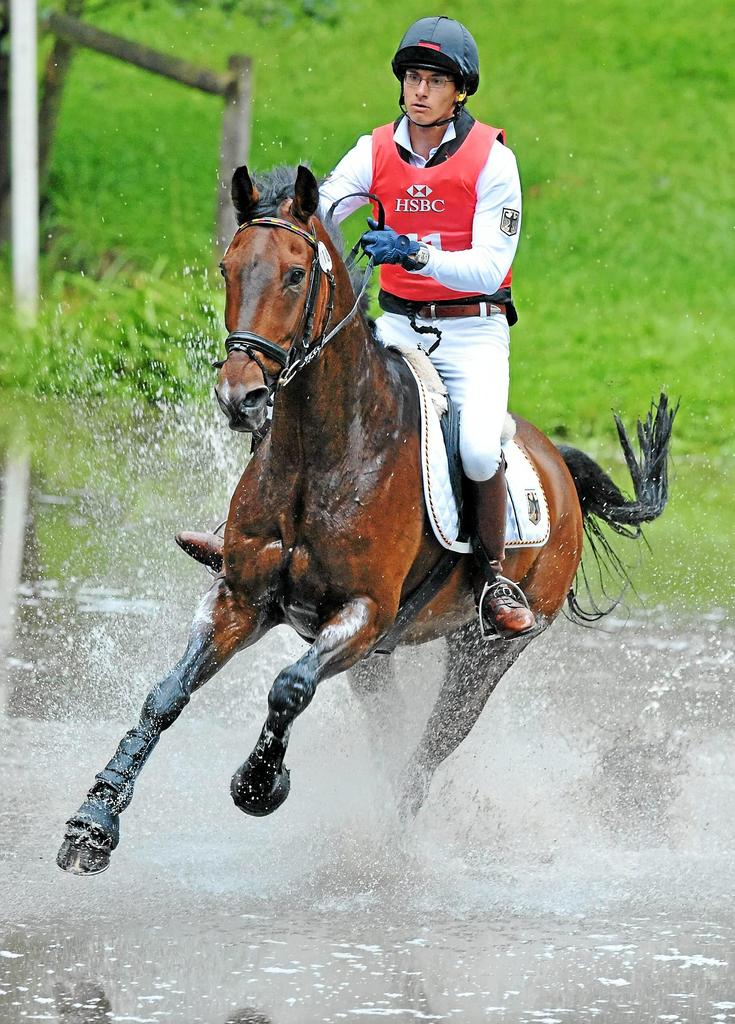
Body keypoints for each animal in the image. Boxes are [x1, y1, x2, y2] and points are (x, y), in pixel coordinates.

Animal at [56, 164, 676, 875]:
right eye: (227, 268)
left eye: (296, 274)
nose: (241, 398)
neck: (323, 452)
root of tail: (559, 467)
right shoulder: (241, 599)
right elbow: (166, 695)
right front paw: (93, 823)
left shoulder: (364, 612)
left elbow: (289, 687)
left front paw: (259, 783)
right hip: (377, 662)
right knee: (394, 738)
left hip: (484, 652)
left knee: (431, 748)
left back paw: (392, 844)